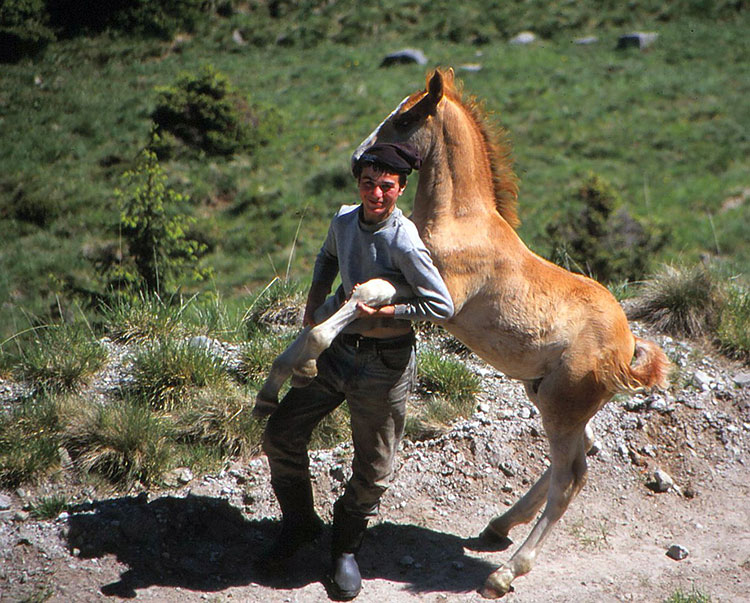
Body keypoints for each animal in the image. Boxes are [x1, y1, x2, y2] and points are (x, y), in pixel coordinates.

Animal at [354, 67, 668, 600]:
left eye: (404, 119)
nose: (360, 158)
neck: (461, 220)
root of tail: (626, 352)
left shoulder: (441, 297)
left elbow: (380, 286)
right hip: (549, 398)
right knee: (578, 455)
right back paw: (497, 527)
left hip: (562, 405)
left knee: (571, 477)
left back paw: (505, 572)